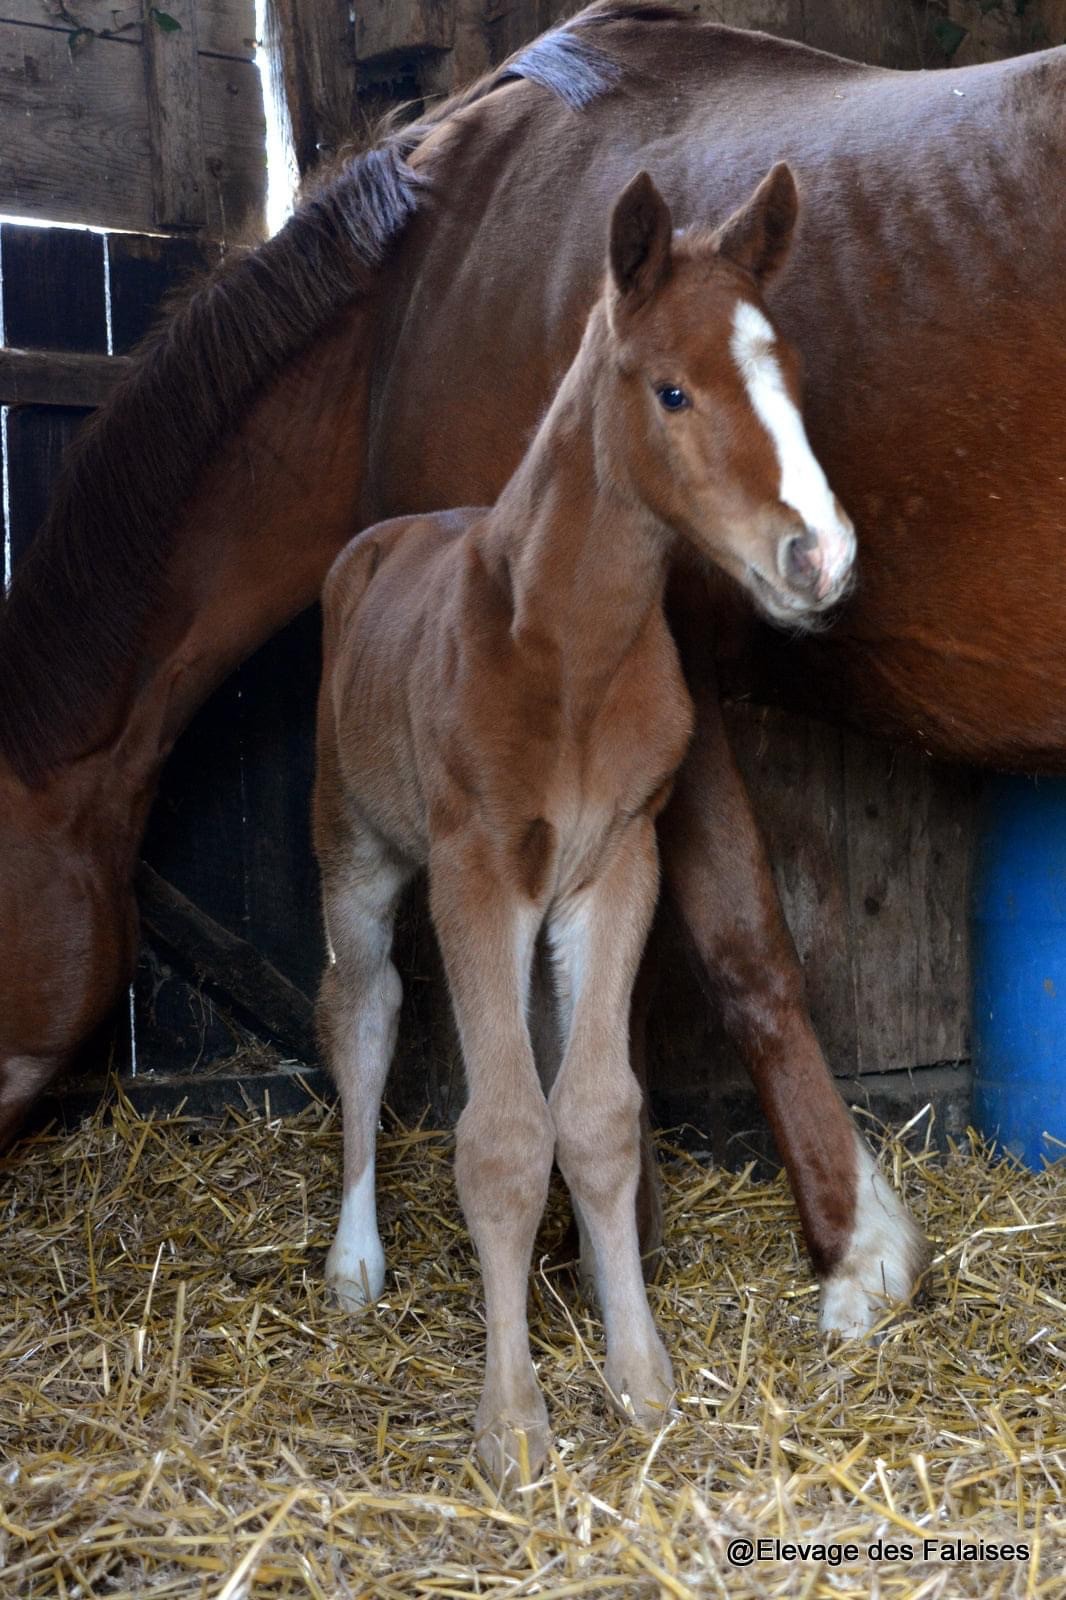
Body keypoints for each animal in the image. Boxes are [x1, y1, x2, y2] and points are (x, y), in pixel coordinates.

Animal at [312, 165, 851, 1484]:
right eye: (672, 390)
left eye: (791, 377)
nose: (817, 557)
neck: (562, 656)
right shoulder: (473, 871)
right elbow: (502, 1137)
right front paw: (513, 1427)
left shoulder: (617, 864)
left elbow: (596, 1114)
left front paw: (640, 1380)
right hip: (356, 848)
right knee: (362, 1010)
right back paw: (354, 1263)